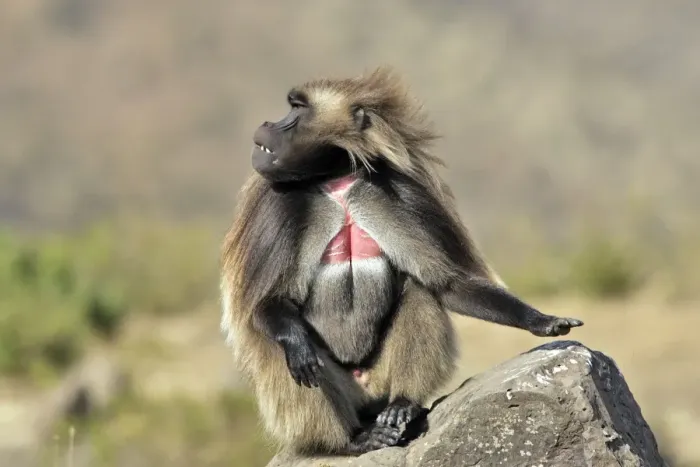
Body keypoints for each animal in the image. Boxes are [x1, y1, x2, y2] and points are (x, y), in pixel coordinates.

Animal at [219, 67, 583, 456]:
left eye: (297, 108)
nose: (267, 123)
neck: (336, 181)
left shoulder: (402, 193)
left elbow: (447, 284)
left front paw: (542, 320)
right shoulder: (278, 206)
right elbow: (267, 305)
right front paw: (297, 344)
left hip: (380, 381)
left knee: (419, 290)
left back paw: (402, 407)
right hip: (343, 394)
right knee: (281, 348)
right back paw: (352, 440)